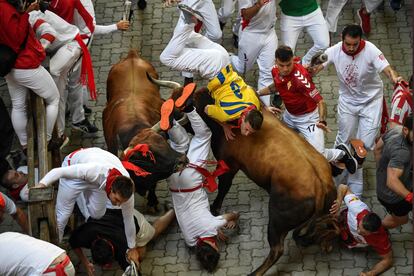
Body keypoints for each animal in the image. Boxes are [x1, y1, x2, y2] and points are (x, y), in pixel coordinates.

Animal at [103, 49, 188, 209]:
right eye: (148, 155)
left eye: (164, 141)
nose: (182, 160)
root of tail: (132, 55)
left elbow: (153, 185)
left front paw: (153, 201)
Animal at [150, 77, 338, 276]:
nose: (161, 131)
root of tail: (320, 184)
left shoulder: (229, 166)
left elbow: (223, 189)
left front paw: (214, 208)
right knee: (320, 229)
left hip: (276, 219)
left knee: (277, 249)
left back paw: (255, 272)